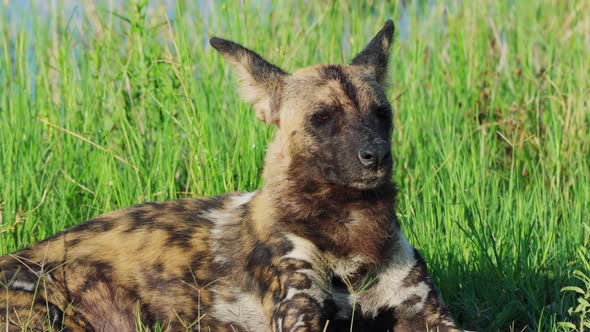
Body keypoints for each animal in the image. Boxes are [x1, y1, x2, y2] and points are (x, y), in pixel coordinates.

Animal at [0, 21, 462, 332]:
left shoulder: (429, 315)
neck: (349, 232)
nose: (376, 155)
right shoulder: (299, 316)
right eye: (322, 118)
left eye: (383, 115)